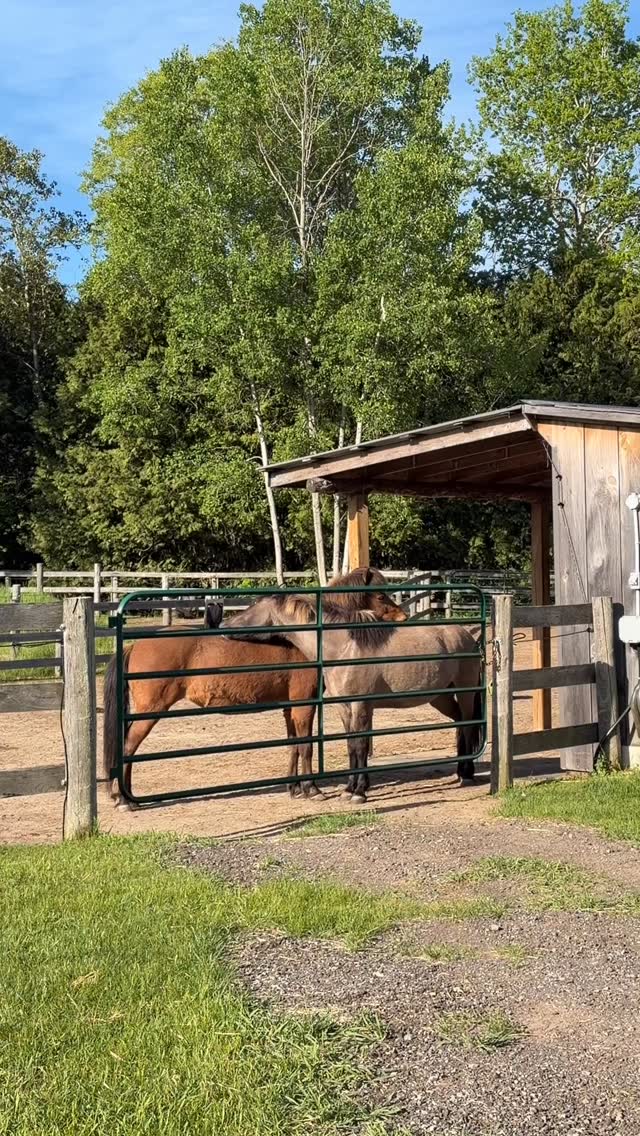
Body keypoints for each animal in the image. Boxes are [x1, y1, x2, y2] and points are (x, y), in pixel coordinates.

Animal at [102, 568, 402, 806]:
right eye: (380, 595)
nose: (401, 617)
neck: (305, 637)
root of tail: (134, 645)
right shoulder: (304, 704)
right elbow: (305, 746)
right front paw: (312, 789)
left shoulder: (289, 707)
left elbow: (293, 746)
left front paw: (294, 788)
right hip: (150, 710)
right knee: (128, 747)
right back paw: (125, 800)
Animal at [229, 591, 483, 802]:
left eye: (253, 607)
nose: (225, 624)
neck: (344, 649)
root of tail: (468, 636)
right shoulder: (344, 706)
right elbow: (351, 745)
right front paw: (349, 789)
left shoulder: (360, 704)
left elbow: (360, 745)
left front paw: (359, 792)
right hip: (440, 697)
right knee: (459, 723)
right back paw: (459, 770)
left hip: (465, 691)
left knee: (468, 725)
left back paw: (467, 774)